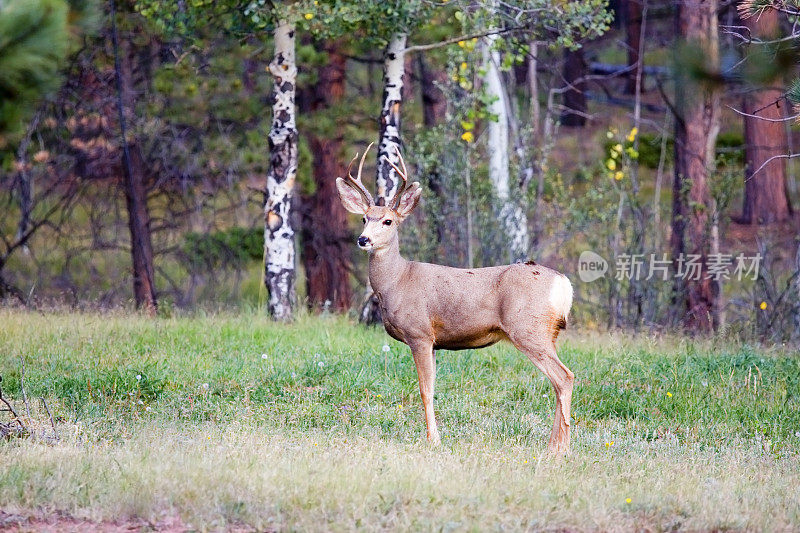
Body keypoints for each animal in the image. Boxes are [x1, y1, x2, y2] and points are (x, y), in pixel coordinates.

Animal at [338, 144, 576, 454]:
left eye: (388, 221)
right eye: (364, 218)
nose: (363, 239)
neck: (397, 281)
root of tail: (563, 284)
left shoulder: (420, 333)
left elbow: (425, 390)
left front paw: (433, 440)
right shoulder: (434, 343)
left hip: (528, 328)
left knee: (564, 377)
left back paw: (560, 449)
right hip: (549, 332)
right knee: (558, 381)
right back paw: (552, 445)